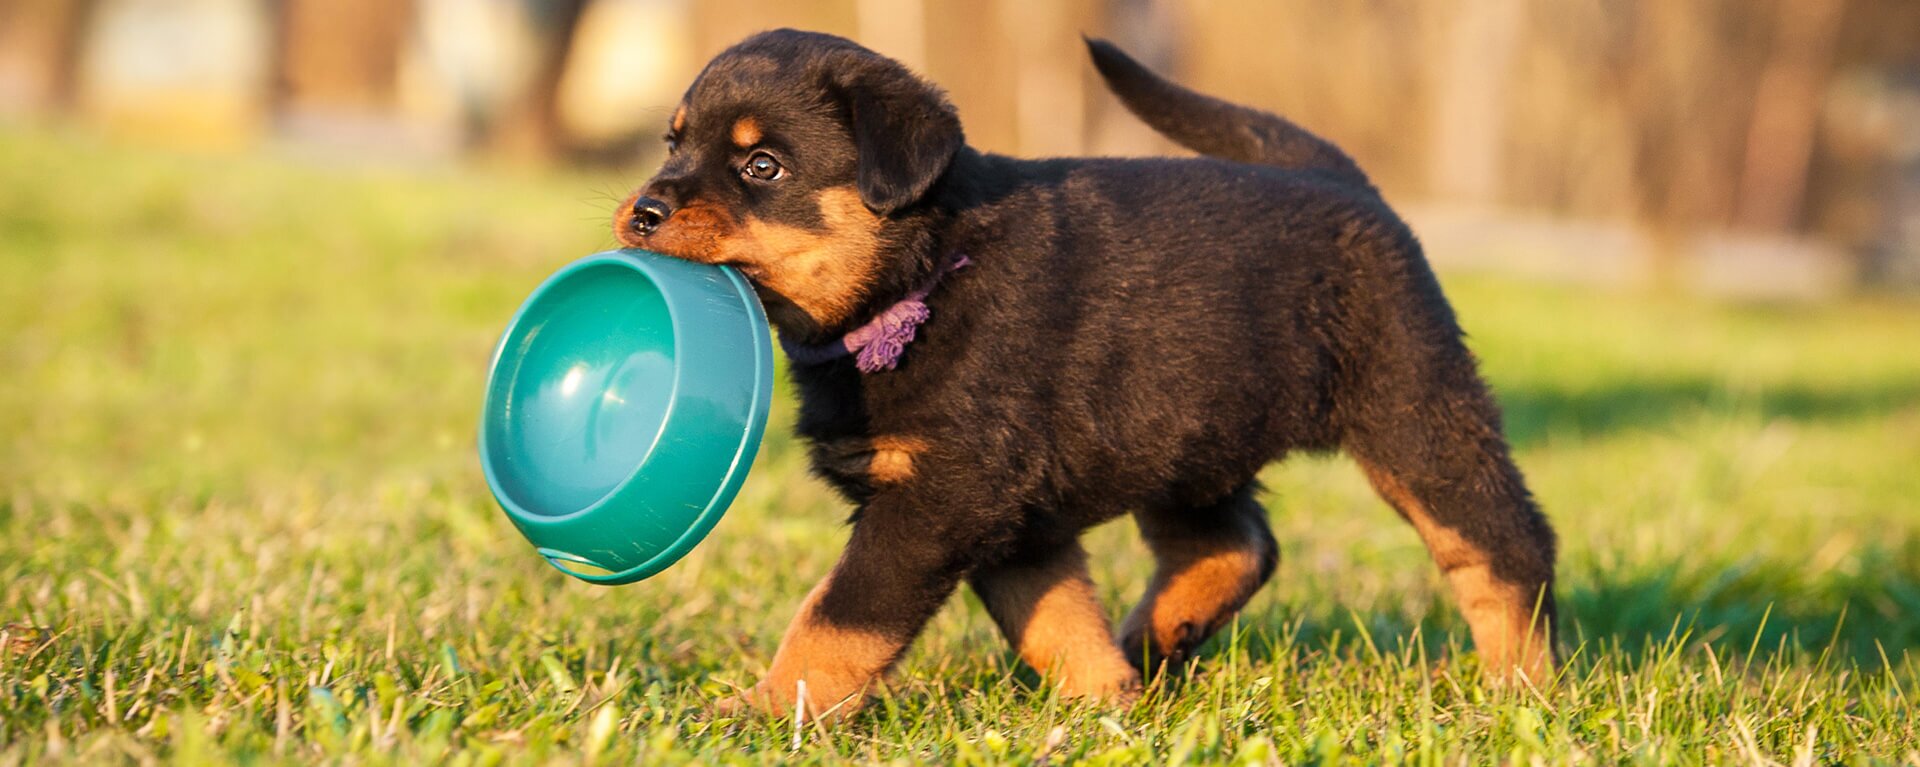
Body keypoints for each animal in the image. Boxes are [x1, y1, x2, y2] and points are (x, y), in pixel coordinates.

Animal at [614, 27, 1559, 718]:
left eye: (761, 166)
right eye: (672, 143)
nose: (643, 210)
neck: (923, 275)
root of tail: (1344, 177)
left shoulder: (943, 494)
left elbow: (838, 614)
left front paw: (763, 708)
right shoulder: (1011, 513)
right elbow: (1057, 616)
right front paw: (1105, 703)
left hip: (1414, 407)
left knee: (1504, 545)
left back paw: (1524, 687)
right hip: (1189, 430)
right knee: (1235, 542)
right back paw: (1154, 638)